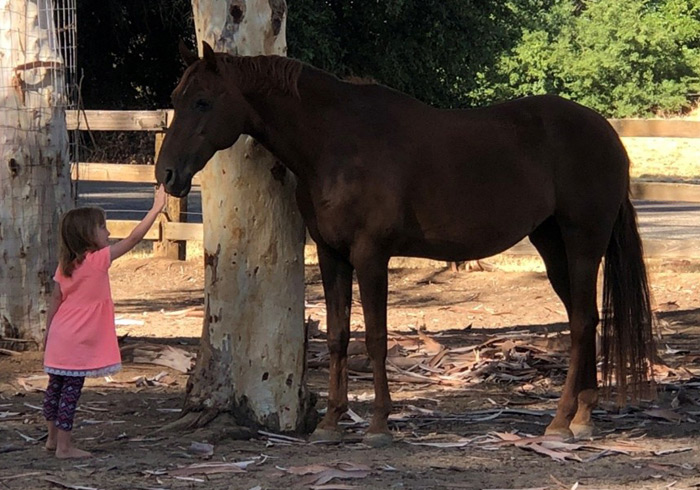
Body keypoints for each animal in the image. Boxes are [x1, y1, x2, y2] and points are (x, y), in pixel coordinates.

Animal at [156, 41, 655, 447]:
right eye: (176, 100)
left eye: (203, 102)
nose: (166, 175)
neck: (336, 143)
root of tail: (607, 133)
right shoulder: (332, 255)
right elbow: (337, 336)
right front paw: (331, 424)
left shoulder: (370, 255)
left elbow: (375, 337)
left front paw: (378, 425)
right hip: (552, 247)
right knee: (583, 319)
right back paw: (580, 417)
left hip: (583, 242)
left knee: (583, 323)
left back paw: (562, 421)